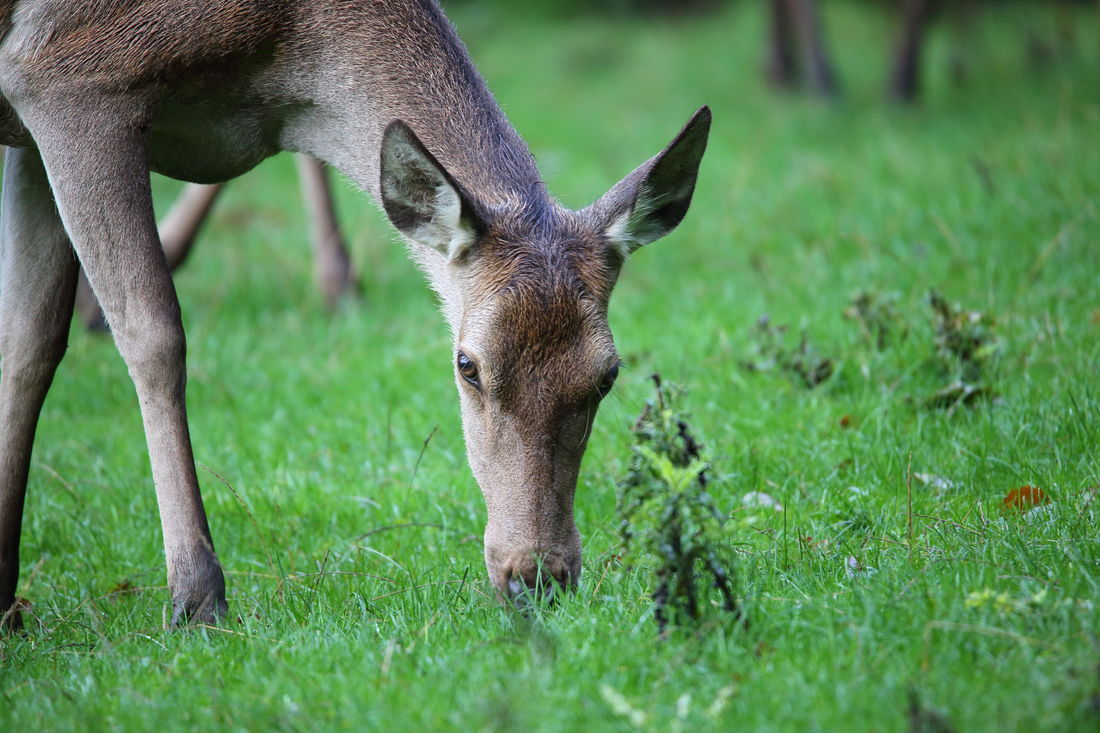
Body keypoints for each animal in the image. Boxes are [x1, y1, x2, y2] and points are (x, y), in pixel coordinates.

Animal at [0, 1, 708, 629]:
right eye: (467, 364)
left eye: (608, 374)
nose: (536, 577)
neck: (275, 77)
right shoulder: (65, 81)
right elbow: (153, 335)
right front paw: (197, 601)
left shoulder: (31, 123)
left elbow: (28, 340)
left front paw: (9, 605)